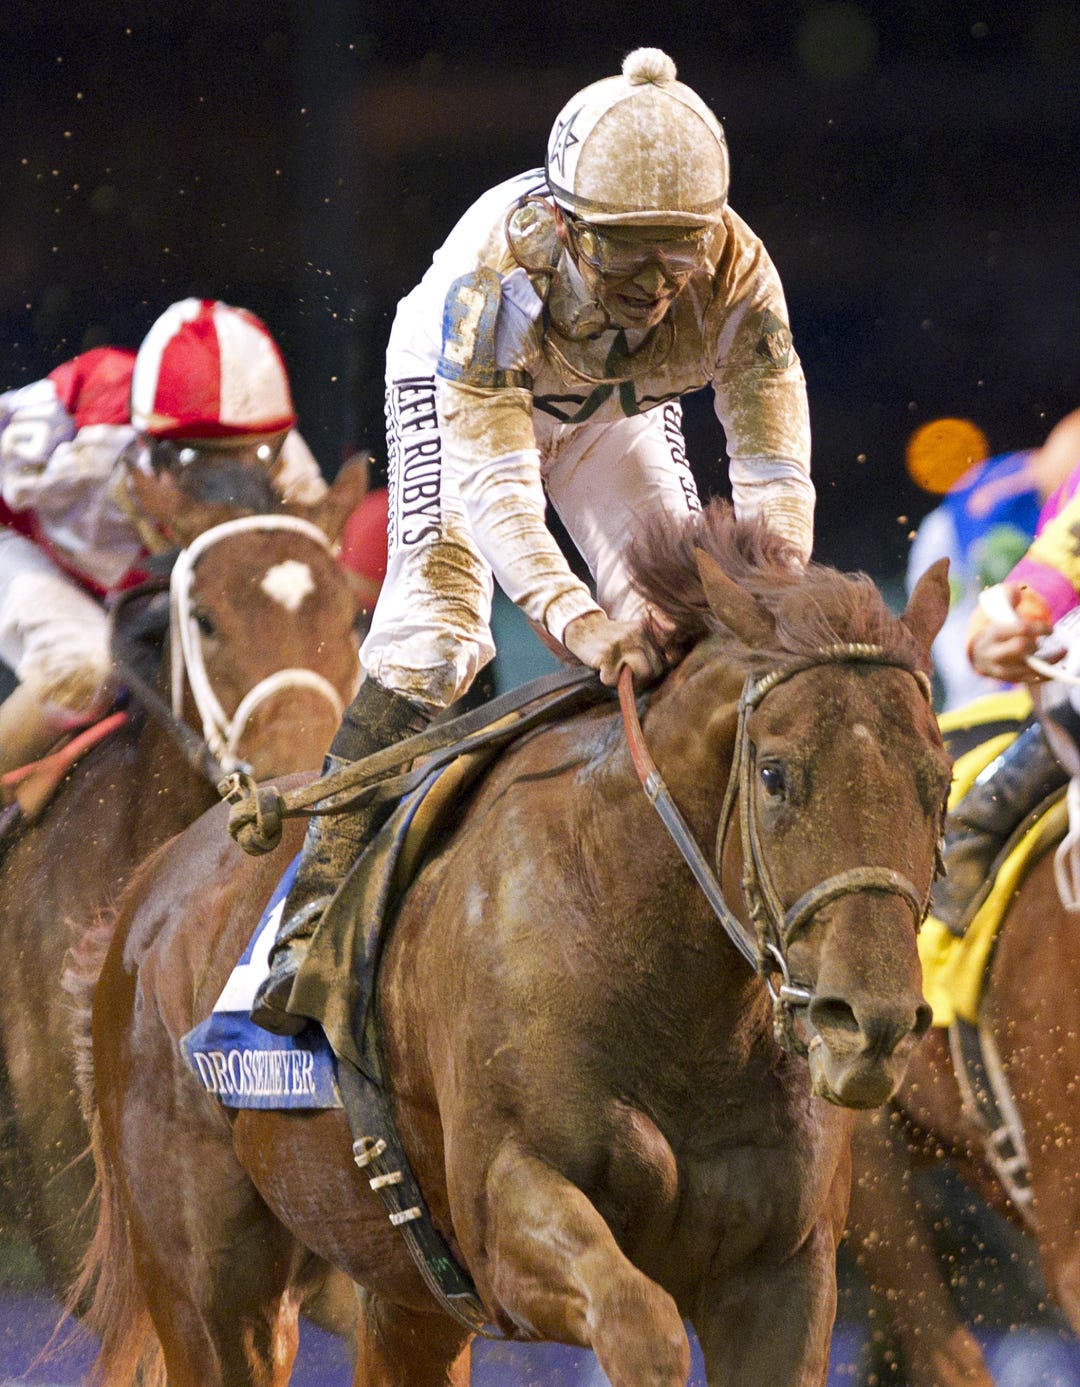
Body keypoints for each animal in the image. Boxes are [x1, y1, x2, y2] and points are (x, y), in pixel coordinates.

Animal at [76, 504, 953, 1387]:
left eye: (938, 781)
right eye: (774, 773)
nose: (870, 1023)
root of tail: (146, 890)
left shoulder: (784, 1272)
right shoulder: (506, 1219)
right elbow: (642, 1323)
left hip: (409, 1298)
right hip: (211, 1293)